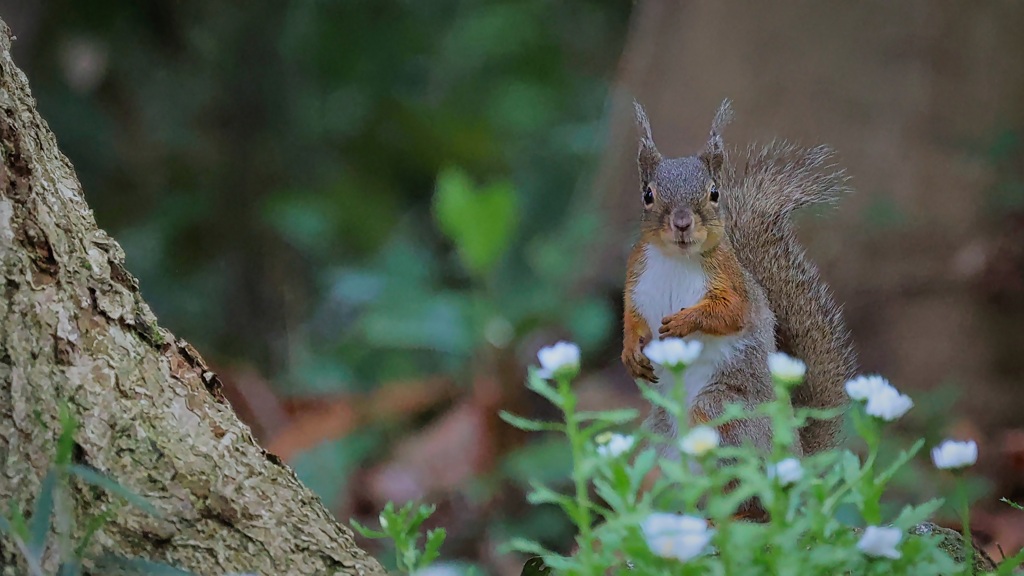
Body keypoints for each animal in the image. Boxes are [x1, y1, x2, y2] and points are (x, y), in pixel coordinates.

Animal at [622, 99, 856, 457]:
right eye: (648, 194)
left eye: (714, 193)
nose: (682, 223)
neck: (677, 259)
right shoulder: (636, 278)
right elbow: (631, 317)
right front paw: (630, 351)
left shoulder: (731, 281)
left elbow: (731, 313)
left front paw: (684, 322)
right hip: (659, 435)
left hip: (723, 411)